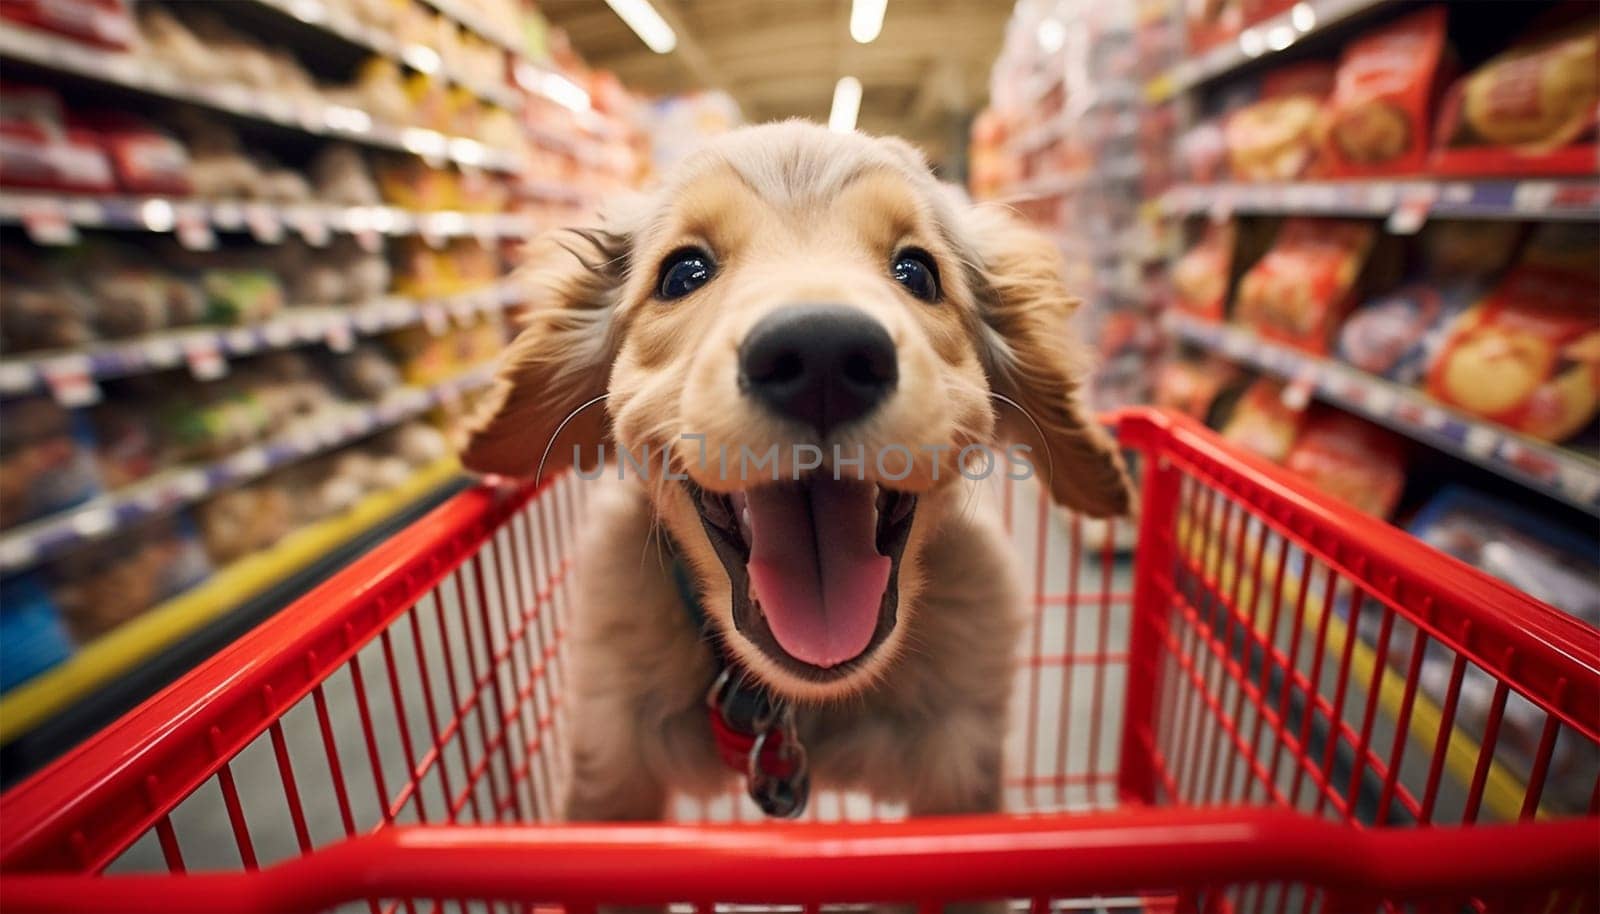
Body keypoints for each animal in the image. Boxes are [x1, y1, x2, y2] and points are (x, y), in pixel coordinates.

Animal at [464, 120, 1132, 838]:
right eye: (683, 272)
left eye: (917, 271)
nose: (823, 357)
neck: (795, 702)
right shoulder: (607, 759)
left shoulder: (963, 762)